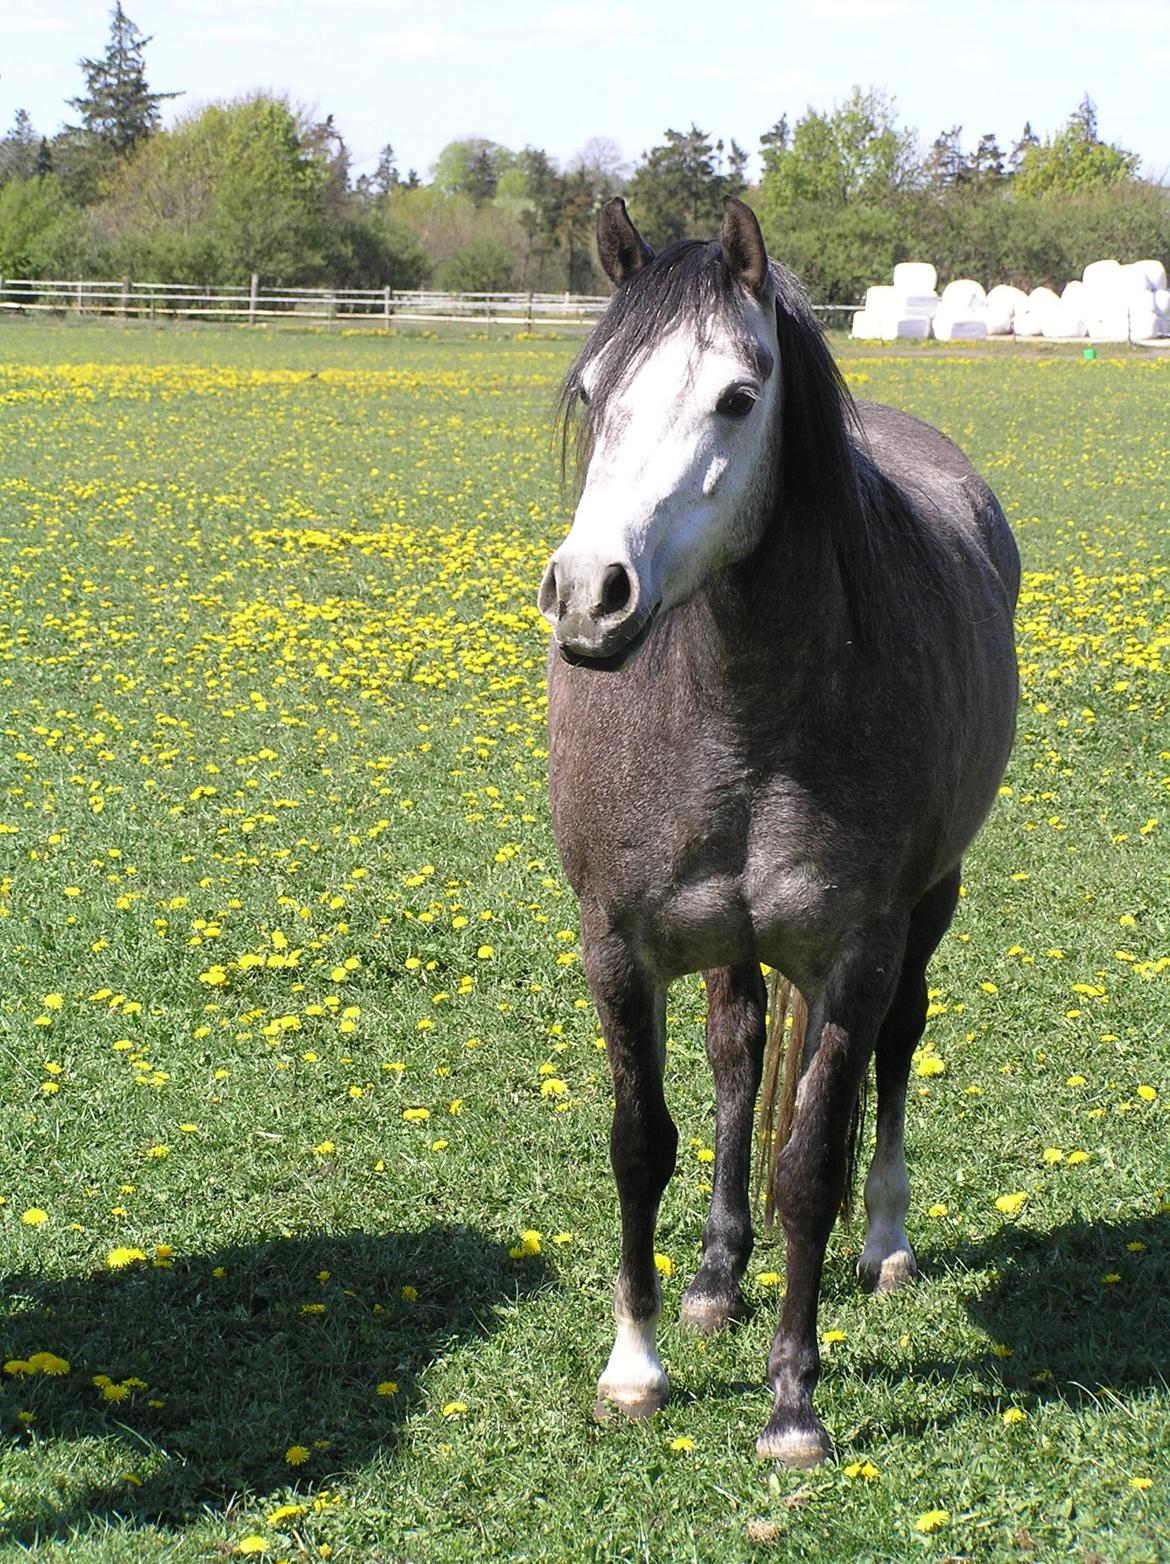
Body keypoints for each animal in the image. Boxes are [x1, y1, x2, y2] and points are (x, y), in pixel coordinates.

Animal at [538, 196, 1020, 1466]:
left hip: (929, 906)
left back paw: (885, 1243)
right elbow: (641, 1139)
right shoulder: (617, 946)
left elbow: (810, 1161)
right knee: (739, 1053)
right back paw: (715, 1273)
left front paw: (794, 1401)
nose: (589, 594)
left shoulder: (855, 951)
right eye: (594, 389)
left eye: (737, 397)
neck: (744, 712)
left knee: (895, 1052)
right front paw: (637, 1361)